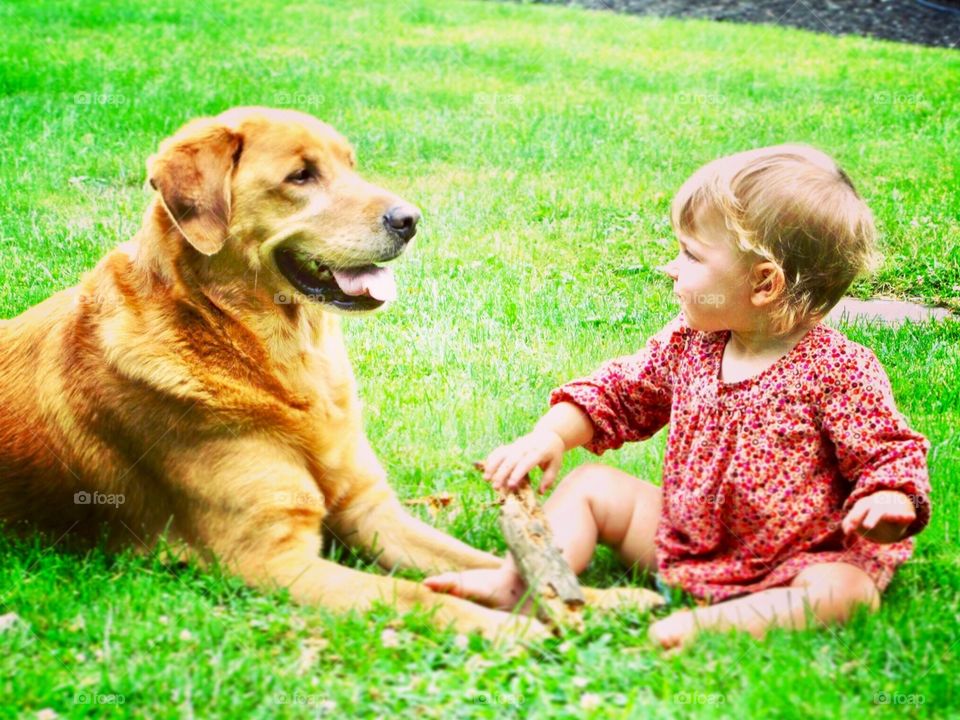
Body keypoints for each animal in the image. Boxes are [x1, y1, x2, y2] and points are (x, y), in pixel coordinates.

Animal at [0, 108, 660, 640]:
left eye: (350, 165)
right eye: (301, 176)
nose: (410, 219)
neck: (279, 359)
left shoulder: (371, 510)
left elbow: (475, 559)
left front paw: (597, 600)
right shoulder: (271, 558)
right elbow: (413, 595)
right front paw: (510, 628)